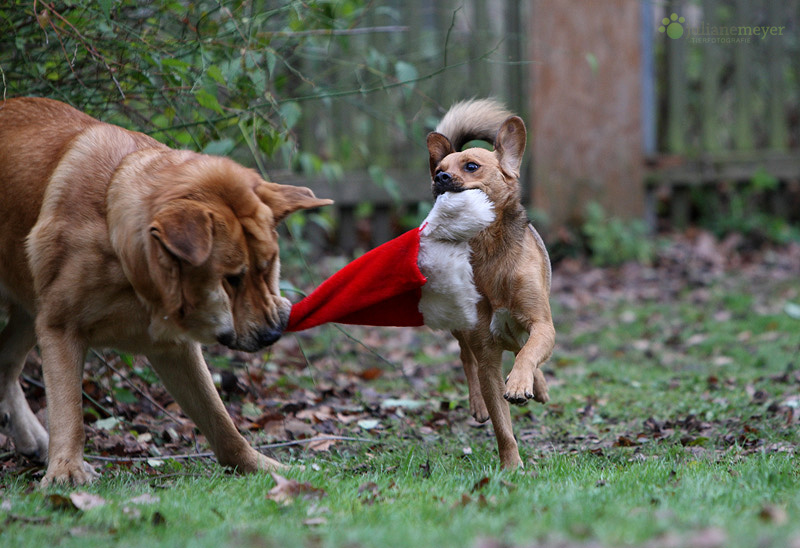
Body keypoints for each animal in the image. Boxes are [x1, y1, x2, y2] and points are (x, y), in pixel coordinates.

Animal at [0, 96, 332, 486]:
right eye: (231, 279)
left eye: (269, 265)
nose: (273, 334)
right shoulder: (59, 327)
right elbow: (69, 409)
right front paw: (66, 470)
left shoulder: (174, 349)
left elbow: (221, 422)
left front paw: (258, 465)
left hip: (28, 310)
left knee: (5, 361)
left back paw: (30, 435)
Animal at [428, 99, 552, 466]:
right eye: (438, 169)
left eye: (471, 166)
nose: (440, 177)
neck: (490, 255)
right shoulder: (487, 355)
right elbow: (502, 425)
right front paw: (511, 467)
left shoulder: (542, 324)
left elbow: (530, 352)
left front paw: (521, 383)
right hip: (461, 325)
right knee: (464, 356)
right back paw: (478, 404)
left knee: (527, 350)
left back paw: (537, 386)